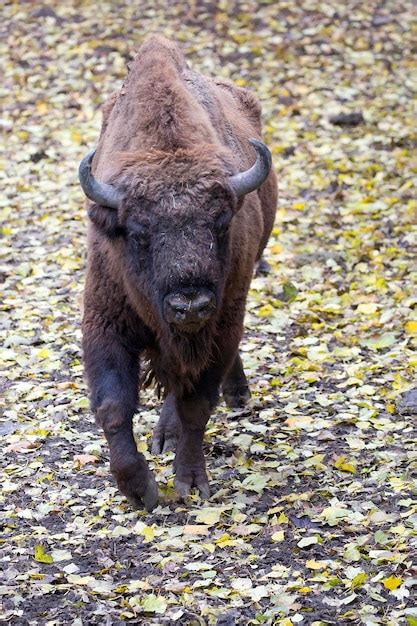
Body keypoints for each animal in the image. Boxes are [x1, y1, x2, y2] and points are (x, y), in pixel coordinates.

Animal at [78, 34, 276, 510]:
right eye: (137, 233)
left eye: (221, 224)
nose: (190, 304)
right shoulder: (104, 322)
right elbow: (113, 405)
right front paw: (140, 491)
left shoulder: (221, 326)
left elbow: (196, 405)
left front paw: (189, 482)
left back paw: (232, 397)